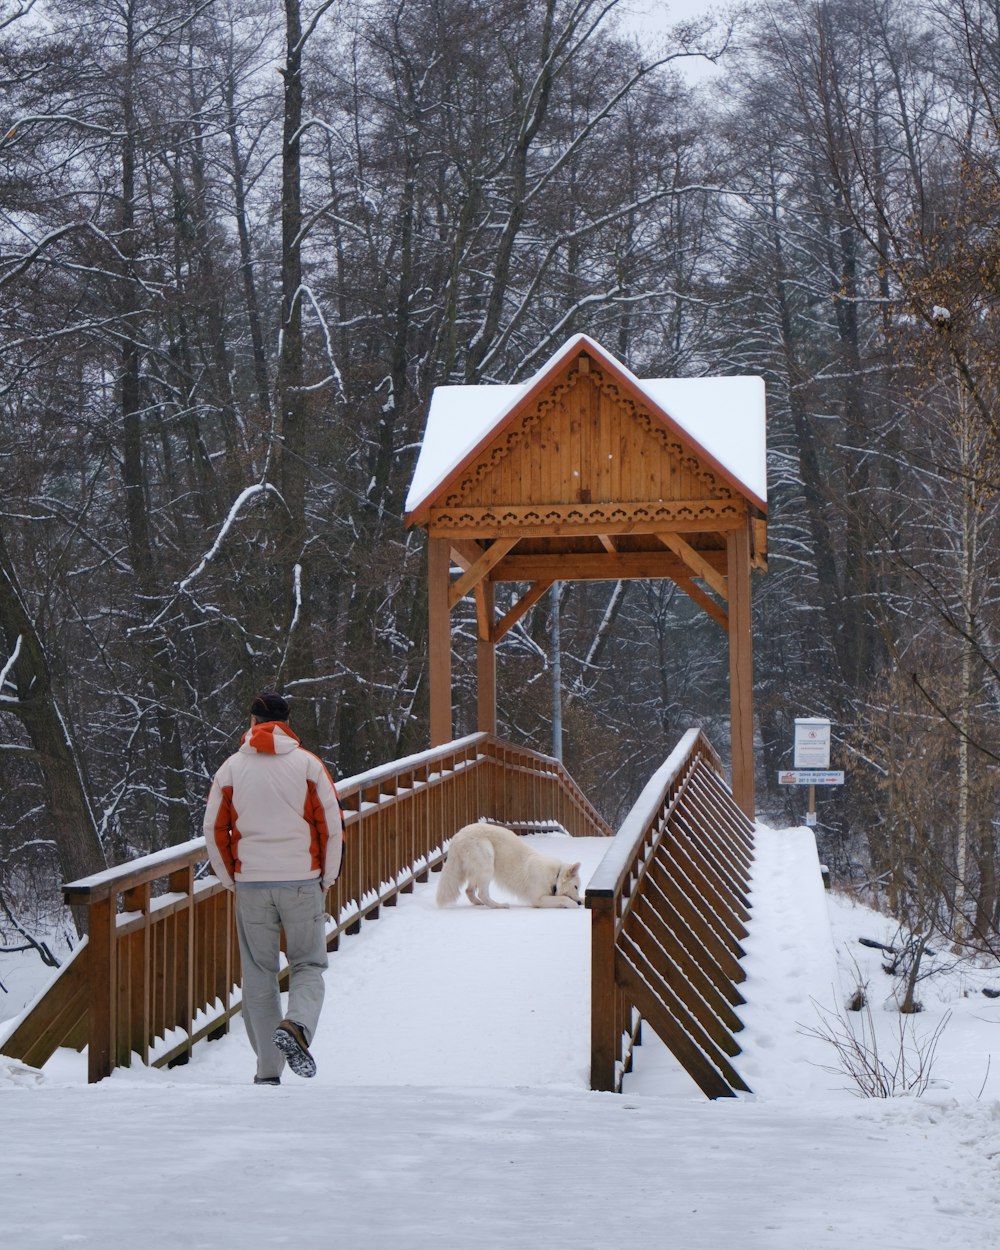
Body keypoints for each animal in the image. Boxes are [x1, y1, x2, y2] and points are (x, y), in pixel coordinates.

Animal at [432, 820, 582, 910]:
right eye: (576, 886)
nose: (580, 903)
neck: (555, 876)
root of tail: (457, 837)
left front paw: (581, 900)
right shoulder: (538, 899)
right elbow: (563, 898)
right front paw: (573, 904)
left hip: (477, 870)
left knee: (469, 891)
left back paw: (478, 903)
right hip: (487, 862)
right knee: (482, 893)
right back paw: (499, 906)